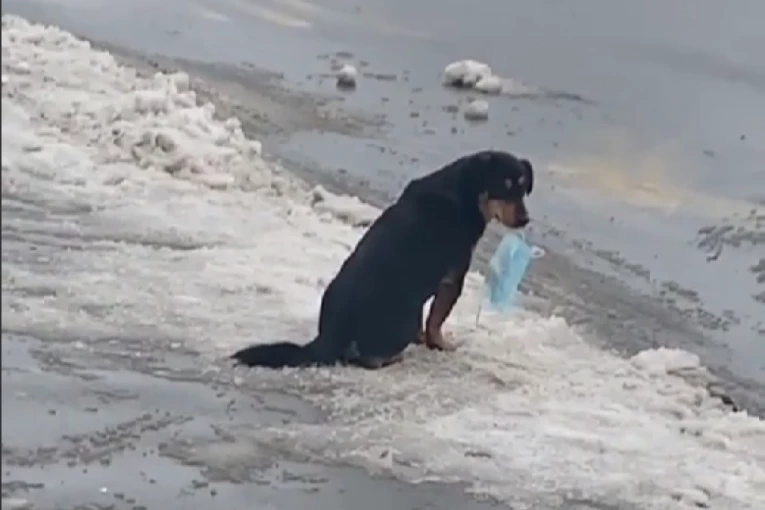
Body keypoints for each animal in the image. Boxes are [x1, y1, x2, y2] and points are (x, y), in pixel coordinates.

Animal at [231, 150, 534, 369]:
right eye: (503, 186)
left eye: (523, 189)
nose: (525, 219)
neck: (466, 190)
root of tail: (330, 334)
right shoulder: (453, 279)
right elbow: (436, 320)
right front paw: (440, 344)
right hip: (405, 317)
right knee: (370, 359)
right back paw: (394, 356)